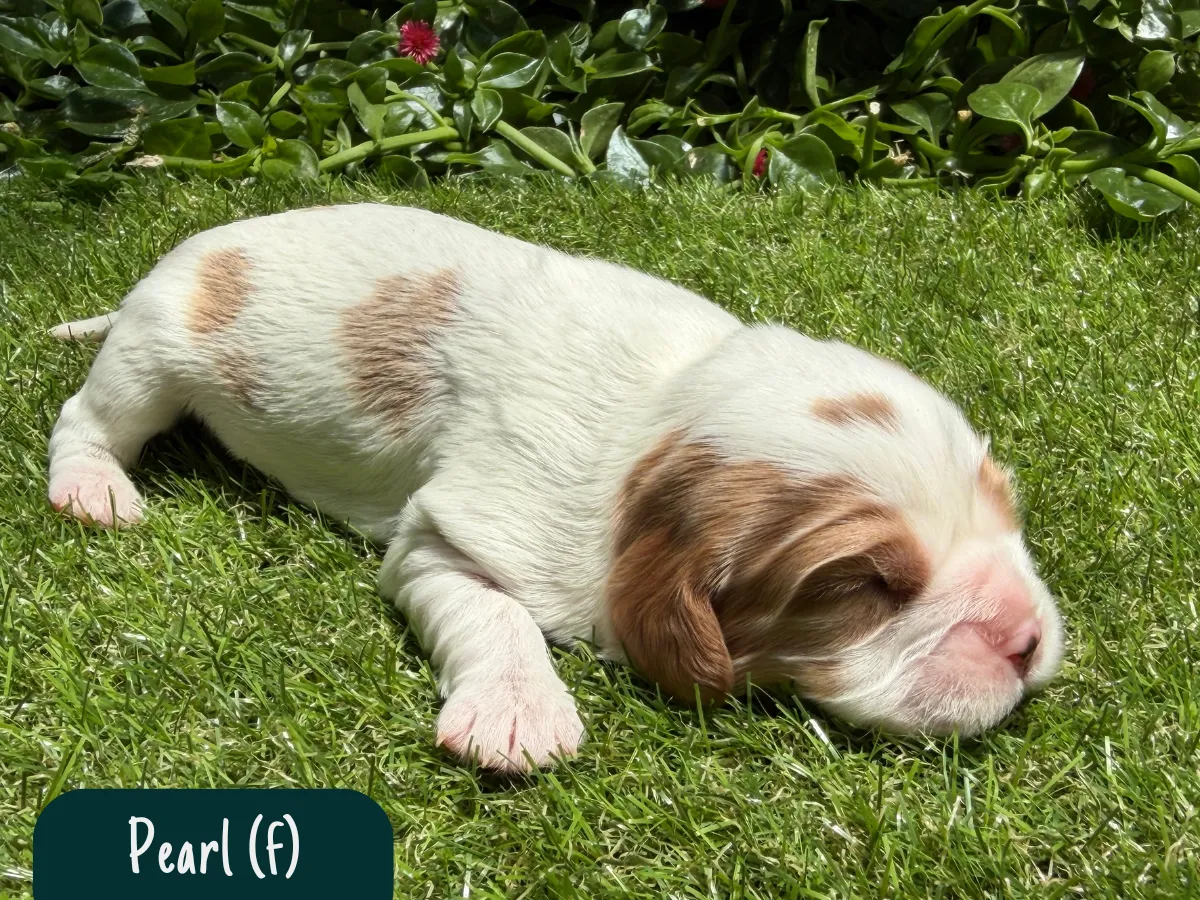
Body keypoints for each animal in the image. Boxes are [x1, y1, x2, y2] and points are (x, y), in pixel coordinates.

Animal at [48, 203, 1064, 772]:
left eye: (1006, 514)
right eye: (869, 585)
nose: (1026, 639)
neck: (662, 411)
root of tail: (187, 251)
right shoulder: (453, 529)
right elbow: (492, 610)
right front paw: (517, 717)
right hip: (152, 353)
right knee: (84, 417)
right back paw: (93, 490)